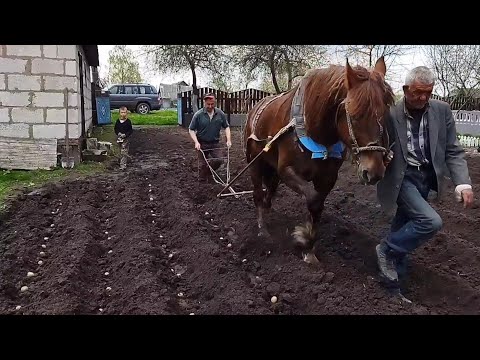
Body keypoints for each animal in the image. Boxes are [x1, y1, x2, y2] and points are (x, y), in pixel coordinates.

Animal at [244, 56, 394, 264]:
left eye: (385, 113)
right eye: (355, 115)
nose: (374, 171)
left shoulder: (328, 177)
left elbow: (318, 206)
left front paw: (309, 247)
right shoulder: (287, 170)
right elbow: (313, 200)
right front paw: (304, 239)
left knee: (271, 189)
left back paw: (267, 209)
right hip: (255, 162)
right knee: (258, 192)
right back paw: (262, 229)